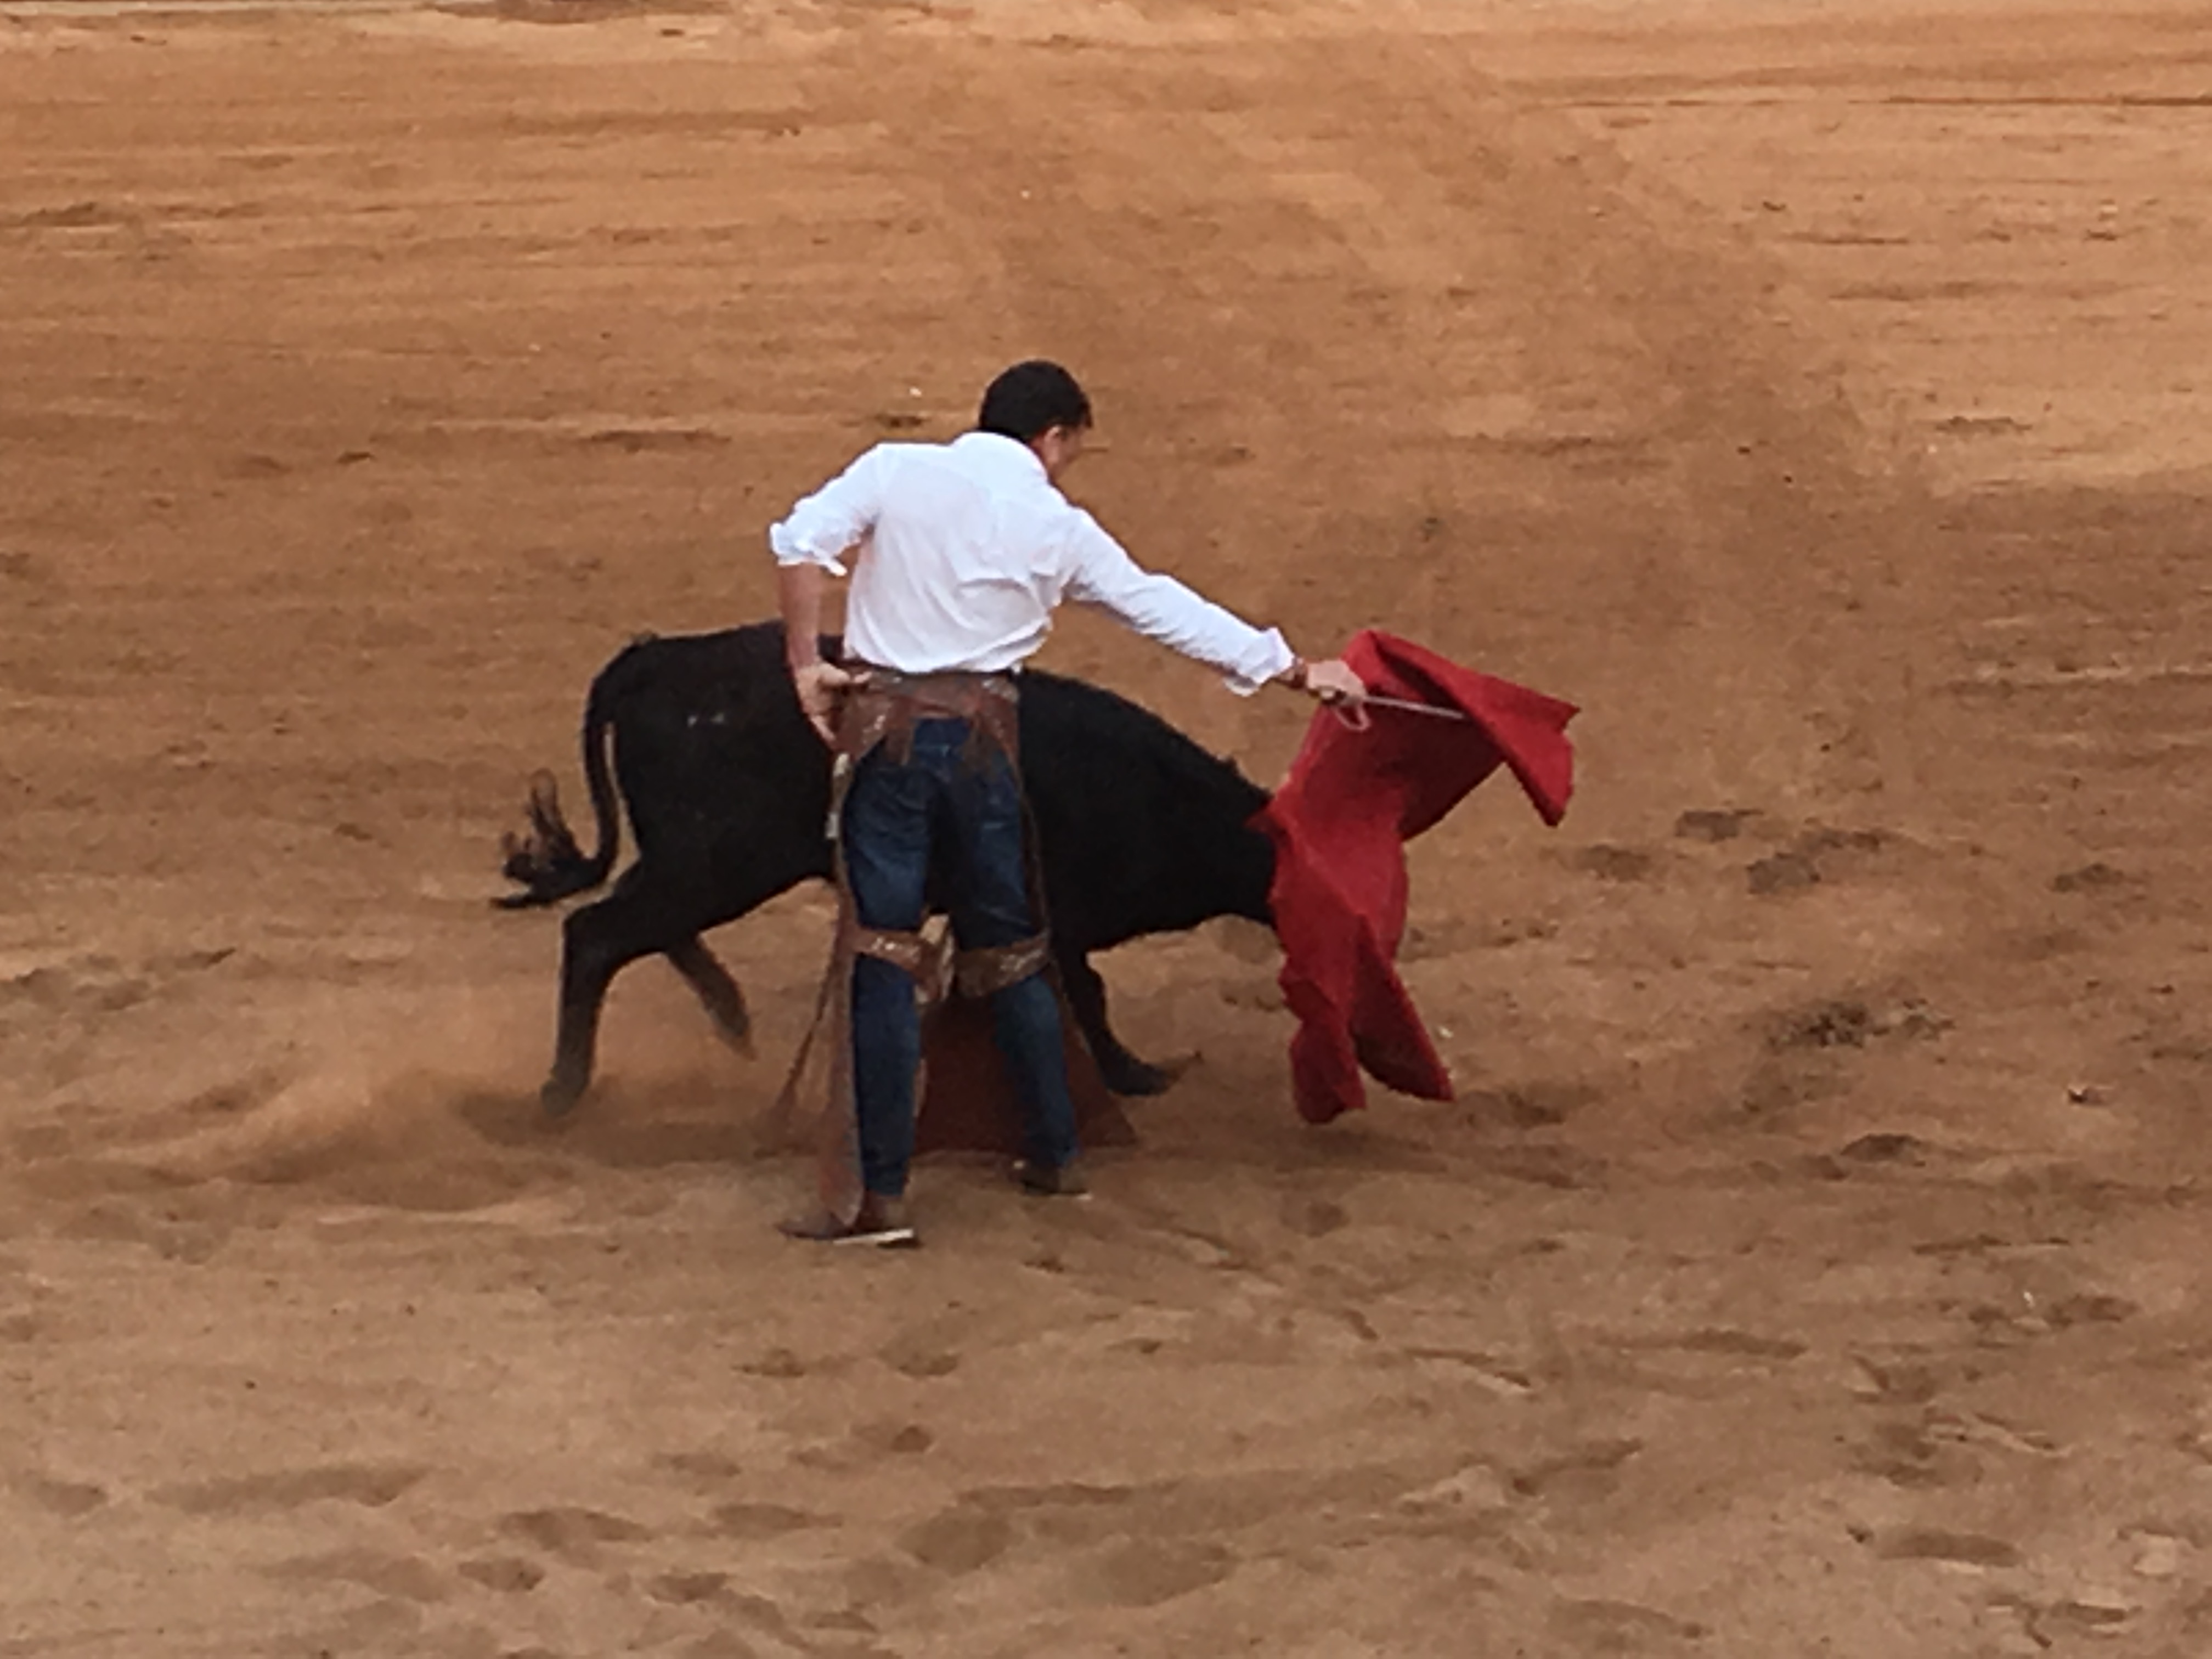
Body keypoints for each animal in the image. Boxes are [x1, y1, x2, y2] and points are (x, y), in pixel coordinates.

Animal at [499, 621, 1279, 1115]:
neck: (1164, 799)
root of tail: (659, 660)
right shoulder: (1053, 914)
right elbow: (1086, 993)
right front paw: (1134, 1075)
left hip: (693, 861)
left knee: (635, 921)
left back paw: (731, 1020)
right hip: (718, 863)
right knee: (599, 932)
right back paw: (562, 1091)